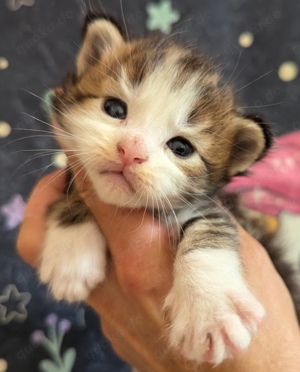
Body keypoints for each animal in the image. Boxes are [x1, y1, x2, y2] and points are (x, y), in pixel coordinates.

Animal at [38, 15, 272, 366]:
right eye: (114, 109)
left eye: (181, 147)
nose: (131, 150)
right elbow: (77, 187)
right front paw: (72, 254)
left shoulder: (211, 206)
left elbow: (212, 227)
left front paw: (210, 311)